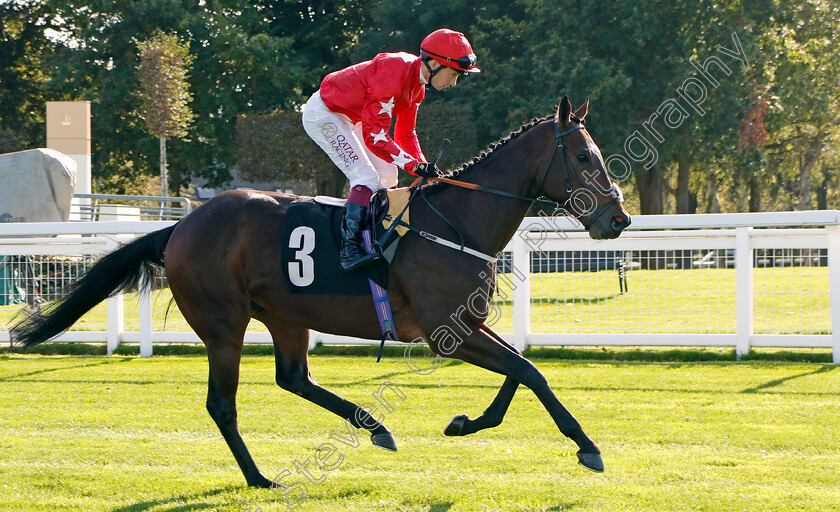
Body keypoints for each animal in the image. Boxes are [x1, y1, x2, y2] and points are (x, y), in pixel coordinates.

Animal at [11, 95, 632, 484]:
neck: (455, 222)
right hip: (223, 323)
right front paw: (588, 446)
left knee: (293, 378)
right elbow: (528, 372)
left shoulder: (465, 323)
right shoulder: (444, 331)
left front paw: (465, 423)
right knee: (222, 403)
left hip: (285, 316)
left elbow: (523, 369)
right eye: (584, 156)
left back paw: (375, 428)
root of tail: (179, 227)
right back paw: (261, 478)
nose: (618, 219)